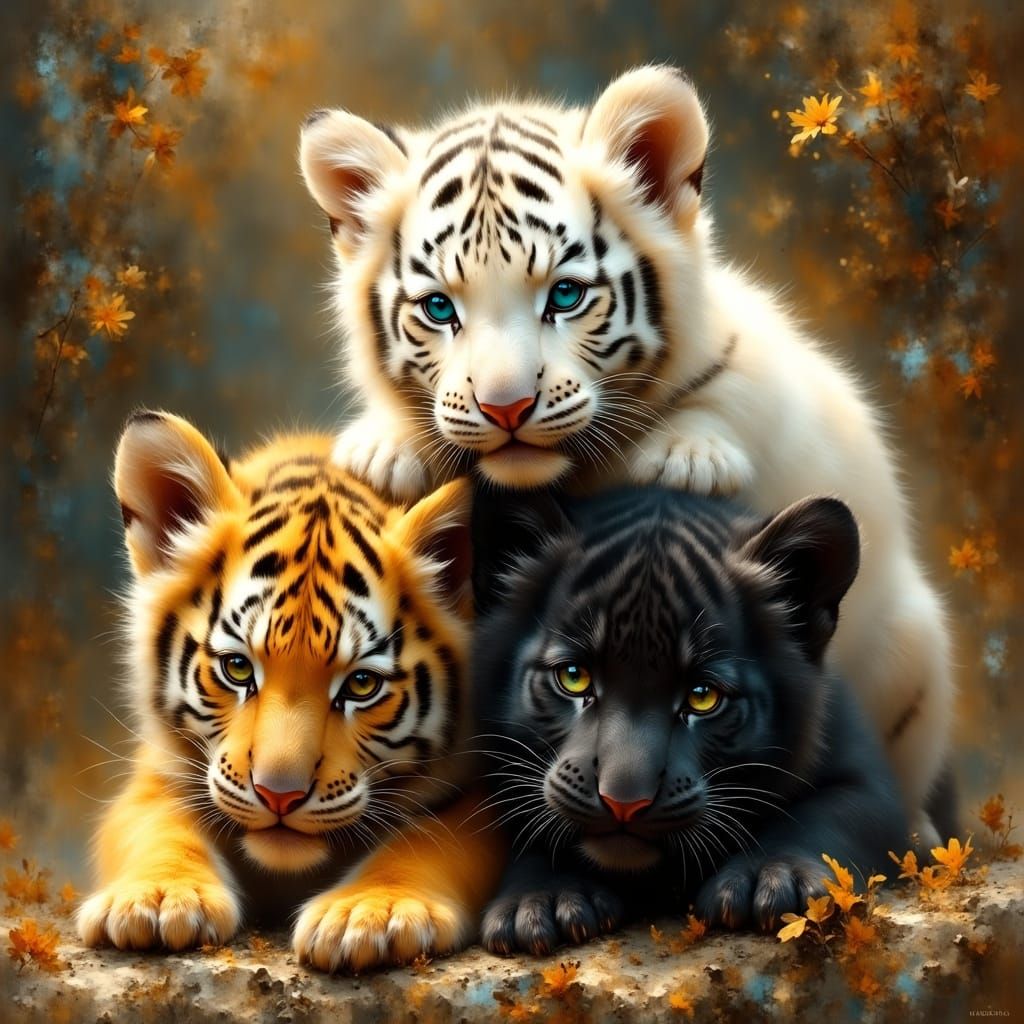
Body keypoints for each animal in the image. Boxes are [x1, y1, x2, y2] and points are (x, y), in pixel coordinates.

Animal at [77, 410, 504, 972]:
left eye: (361, 684)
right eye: (238, 668)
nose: (279, 795)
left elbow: (436, 839)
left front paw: (373, 912)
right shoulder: (160, 772)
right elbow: (155, 826)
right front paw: (158, 898)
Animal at [298, 65, 953, 847]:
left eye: (565, 295)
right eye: (438, 309)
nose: (506, 407)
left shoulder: (766, 370)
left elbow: (729, 394)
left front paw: (685, 455)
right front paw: (382, 450)